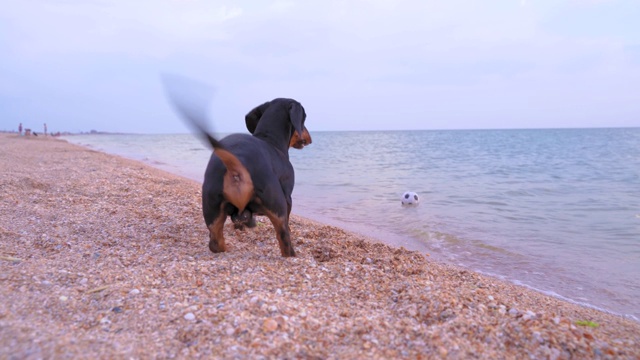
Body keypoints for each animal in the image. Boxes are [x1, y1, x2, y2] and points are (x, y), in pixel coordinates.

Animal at [184, 98, 312, 256]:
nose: (309, 139)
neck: (270, 139)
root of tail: (236, 163)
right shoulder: (288, 199)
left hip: (211, 211)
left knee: (214, 243)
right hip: (278, 206)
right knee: (284, 239)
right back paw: (291, 255)